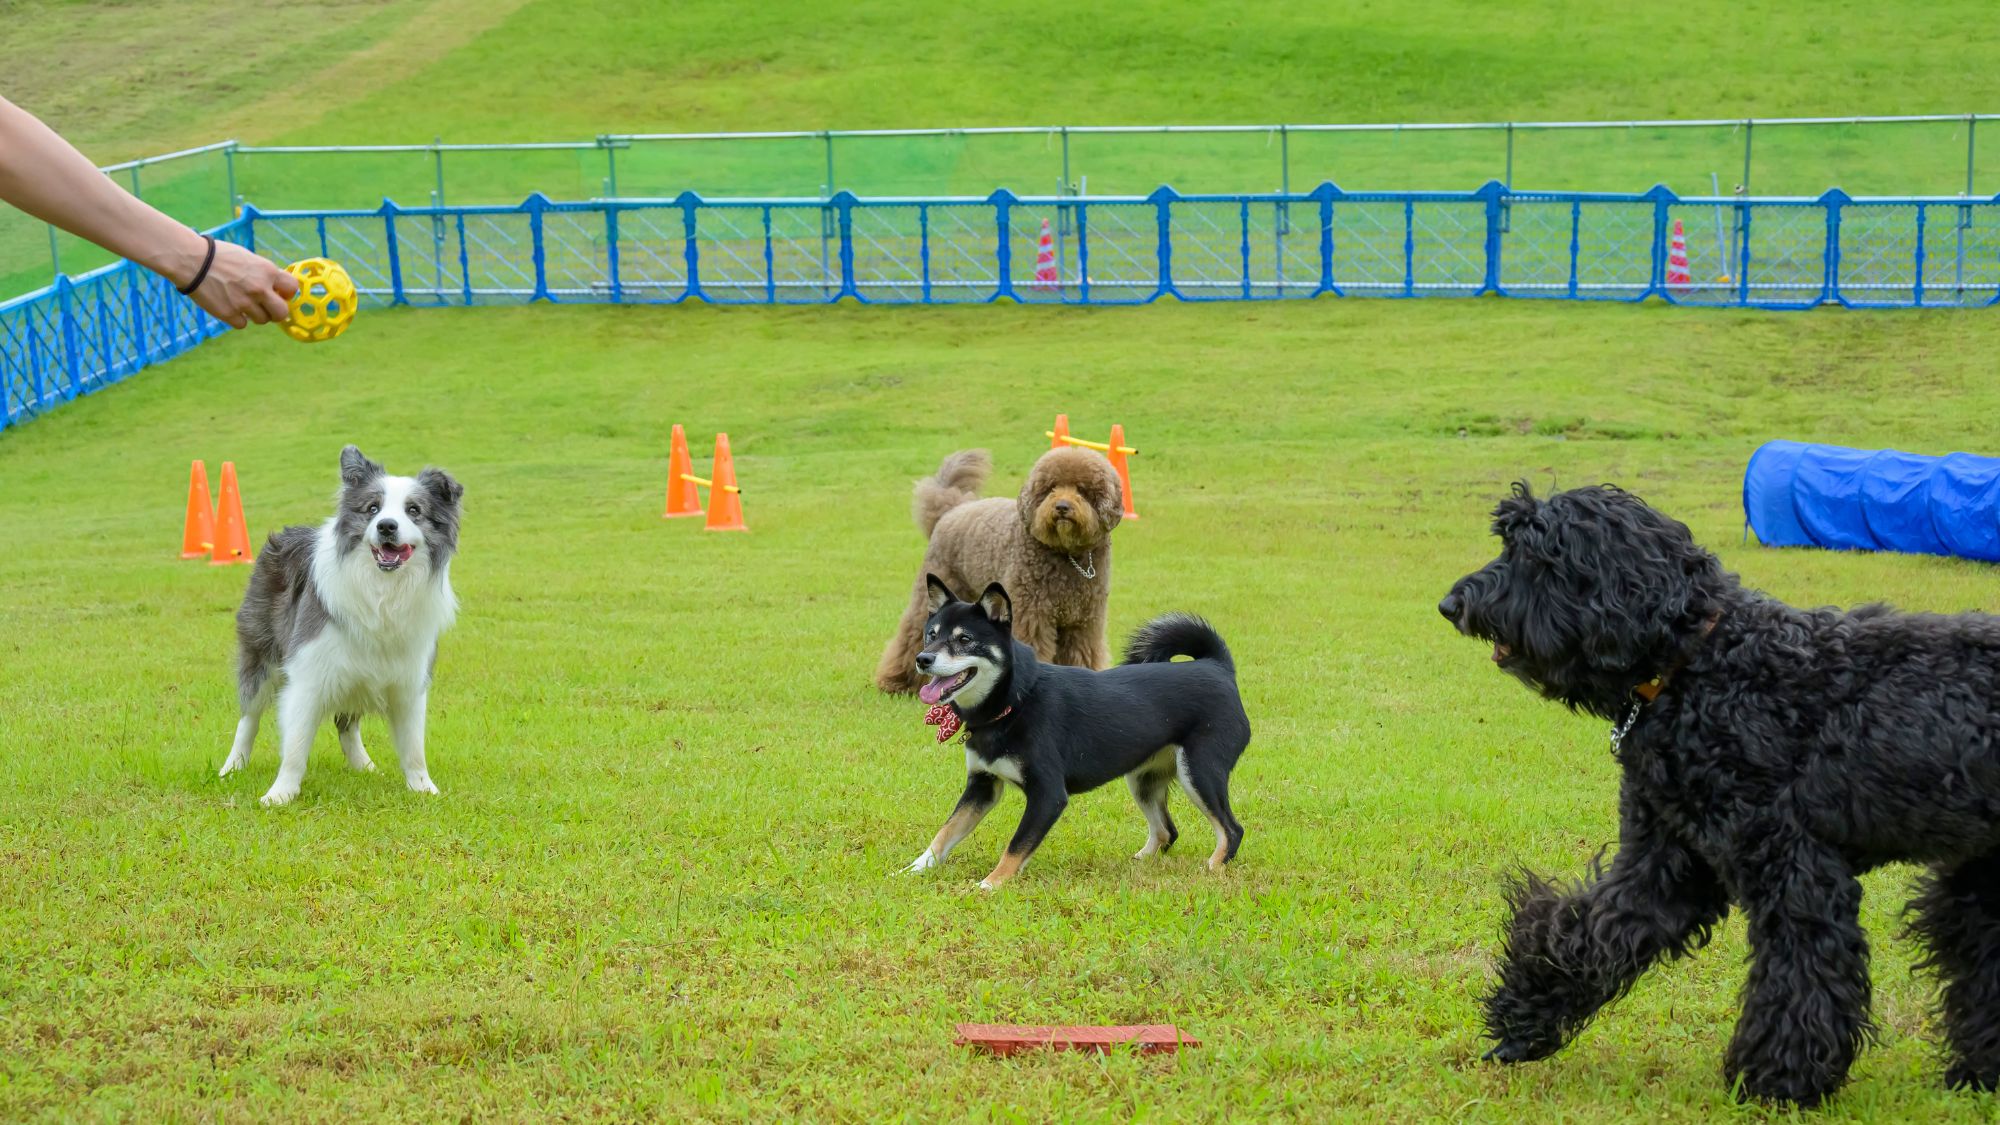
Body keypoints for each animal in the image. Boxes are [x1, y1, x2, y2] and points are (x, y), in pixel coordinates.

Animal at [876, 444, 1128, 692]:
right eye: (1050, 488)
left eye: (1082, 490)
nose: (1062, 507)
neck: (1066, 554)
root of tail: (952, 509)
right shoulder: (1032, 615)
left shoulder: (1083, 623)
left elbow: (1084, 654)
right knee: (910, 635)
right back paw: (897, 682)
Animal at [1448, 474, 2000, 1104]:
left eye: (1537, 555)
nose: (1452, 604)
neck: (1704, 664)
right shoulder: (1668, 862)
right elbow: (1589, 930)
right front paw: (1520, 1020)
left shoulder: (1793, 869)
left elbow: (1798, 973)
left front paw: (1778, 1081)